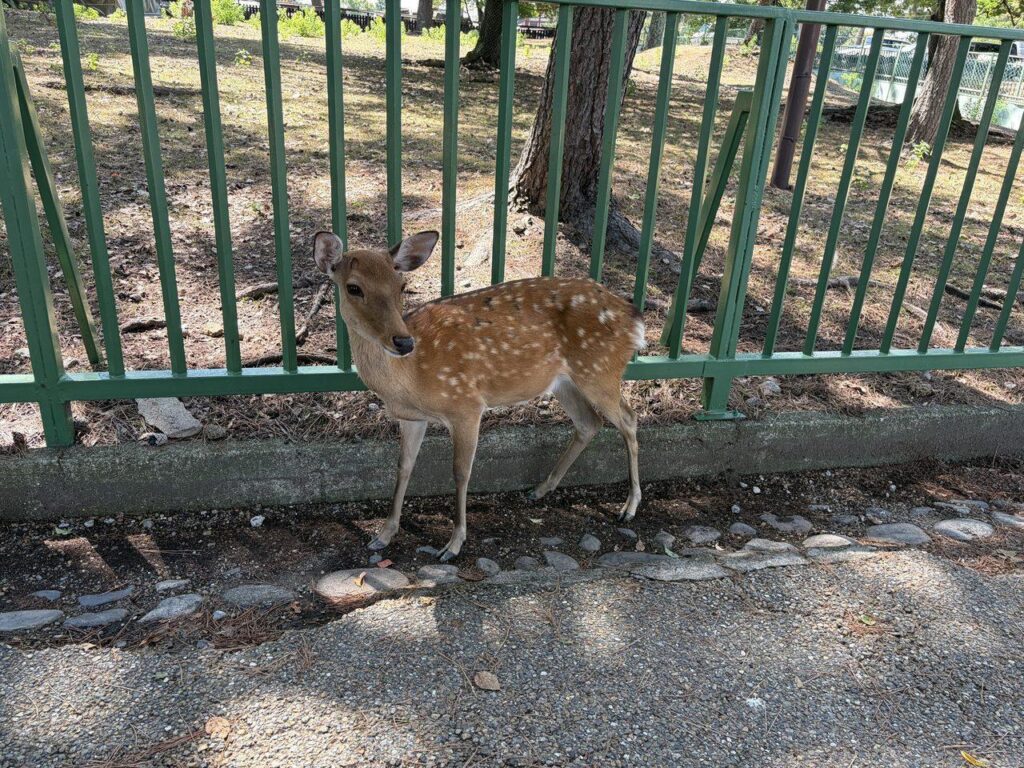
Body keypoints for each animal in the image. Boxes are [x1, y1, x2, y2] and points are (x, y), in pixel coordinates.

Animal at [313, 229, 644, 562]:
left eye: (401, 285)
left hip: (599, 371)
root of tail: (634, 318)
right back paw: (540, 489)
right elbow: (403, 467)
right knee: (589, 423)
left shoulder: (466, 405)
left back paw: (629, 507)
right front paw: (382, 535)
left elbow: (461, 472)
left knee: (629, 419)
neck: (410, 380)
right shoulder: (412, 418)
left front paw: (453, 544)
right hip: (565, 382)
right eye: (353, 287)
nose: (403, 342)